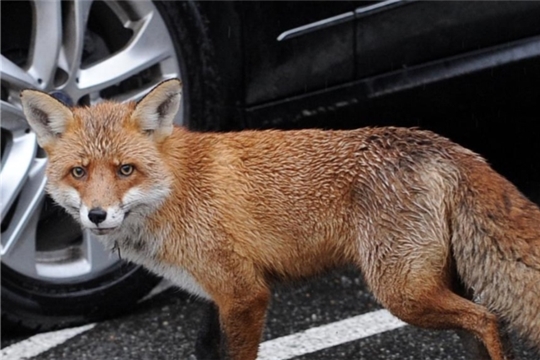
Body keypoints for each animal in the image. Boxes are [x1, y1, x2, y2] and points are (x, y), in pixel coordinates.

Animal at [20, 79, 540, 360]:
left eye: (125, 170)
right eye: (79, 172)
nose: (97, 214)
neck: (175, 189)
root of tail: (444, 144)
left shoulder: (245, 295)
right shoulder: (218, 296)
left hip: (403, 293)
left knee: (490, 318)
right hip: (434, 283)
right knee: (479, 324)